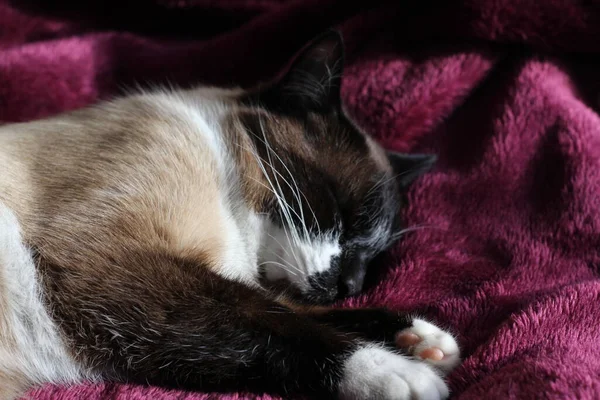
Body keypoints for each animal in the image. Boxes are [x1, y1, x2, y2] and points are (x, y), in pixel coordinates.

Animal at [0, 32, 460, 400]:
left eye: (373, 255)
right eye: (339, 210)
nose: (352, 284)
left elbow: (282, 310)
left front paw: (417, 339)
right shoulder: (108, 265)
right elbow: (275, 322)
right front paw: (401, 372)